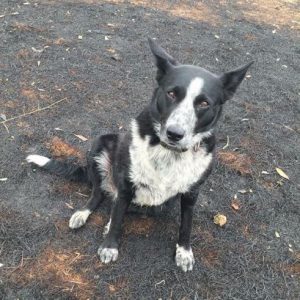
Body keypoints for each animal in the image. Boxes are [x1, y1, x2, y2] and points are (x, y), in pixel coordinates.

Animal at [26, 39, 253, 272]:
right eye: (171, 93)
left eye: (204, 103)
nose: (174, 133)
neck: (168, 152)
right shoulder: (126, 184)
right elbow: (118, 217)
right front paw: (109, 246)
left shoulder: (191, 194)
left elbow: (186, 225)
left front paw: (184, 252)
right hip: (100, 145)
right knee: (99, 194)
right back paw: (83, 213)